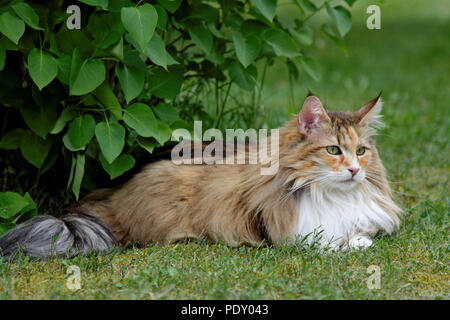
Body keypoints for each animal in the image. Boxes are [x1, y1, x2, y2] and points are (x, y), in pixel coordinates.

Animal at [0, 95, 400, 260]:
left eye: (361, 151)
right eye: (333, 150)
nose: (355, 170)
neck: (330, 195)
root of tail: (110, 201)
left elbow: (361, 231)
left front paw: (360, 238)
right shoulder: (288, 232)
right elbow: (331, 241)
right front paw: (353, 244)